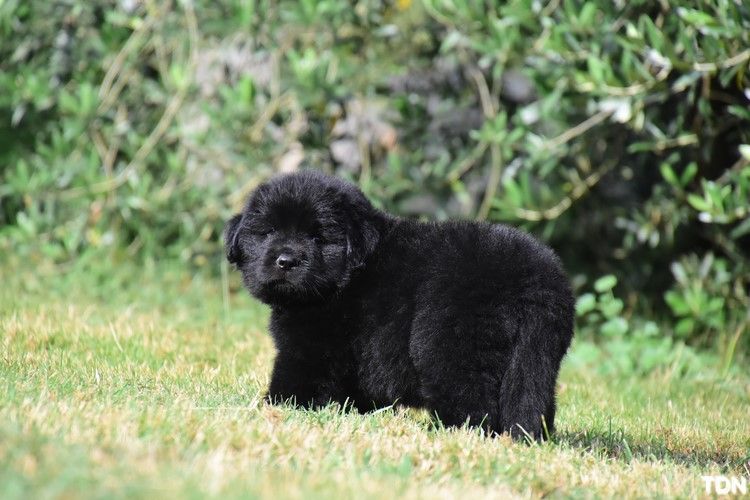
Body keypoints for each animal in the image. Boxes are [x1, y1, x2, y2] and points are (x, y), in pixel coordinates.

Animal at [225, 171, 574, 439]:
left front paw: (274, 407)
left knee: (472, 403)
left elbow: (295, 377)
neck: (349, 276)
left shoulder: (310, 347)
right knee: (530, 400)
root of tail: (536, 278)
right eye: (268, 231)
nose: (286, 260)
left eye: (317, 237)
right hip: (536, 357)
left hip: (447, 345)